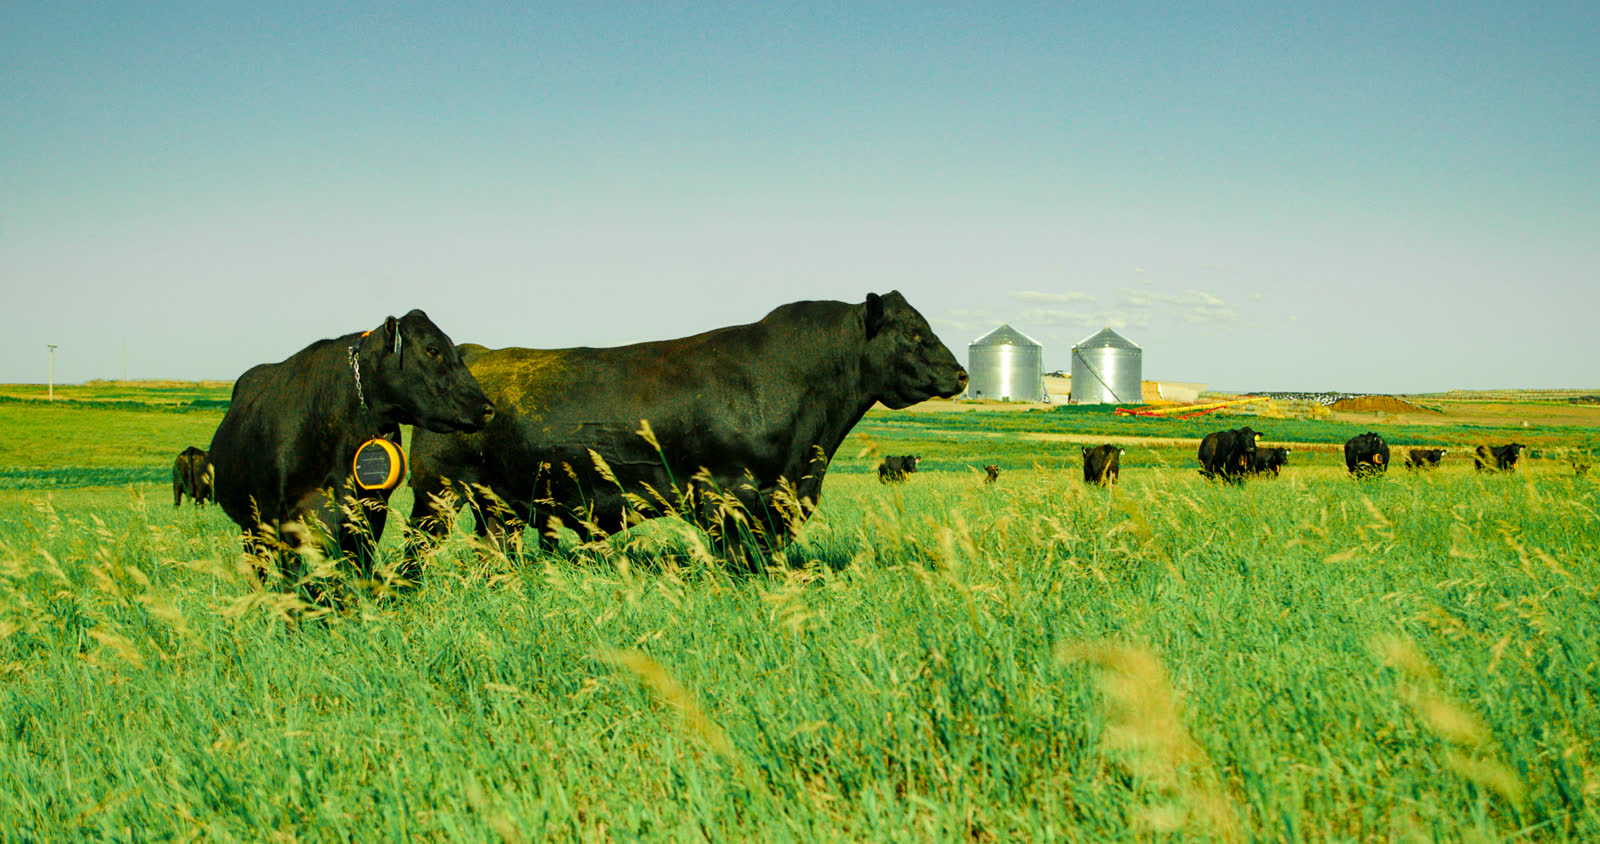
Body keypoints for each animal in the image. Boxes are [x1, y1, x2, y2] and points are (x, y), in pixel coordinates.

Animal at [208, 310, 495, 590]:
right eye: (432, 350)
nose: (487, 408)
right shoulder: (280, 519)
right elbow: (295, 584)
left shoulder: (368, 514)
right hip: (251, 525)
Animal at [407, 291, 967, 567]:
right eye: (914, 331)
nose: (961, 374)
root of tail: (474, 352)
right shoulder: (729, 494)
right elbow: (740, 562)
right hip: (435, 494)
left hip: (495, 504)